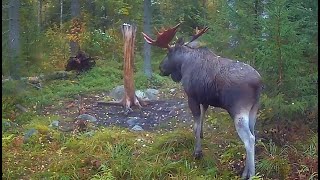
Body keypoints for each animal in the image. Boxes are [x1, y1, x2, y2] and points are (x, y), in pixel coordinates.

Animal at [142, 22, 262, 179]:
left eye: (168, 54)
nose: (160, 68)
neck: (183, 65)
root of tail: (259, 83)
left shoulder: (192, 97)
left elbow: (195, 125)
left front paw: (197, 152)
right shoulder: (204, 99)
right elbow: (203, 117)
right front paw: (202, 135)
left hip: (238, 110)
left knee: (249, 139)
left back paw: (249, 174)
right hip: (254, 109)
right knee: (254, 134)